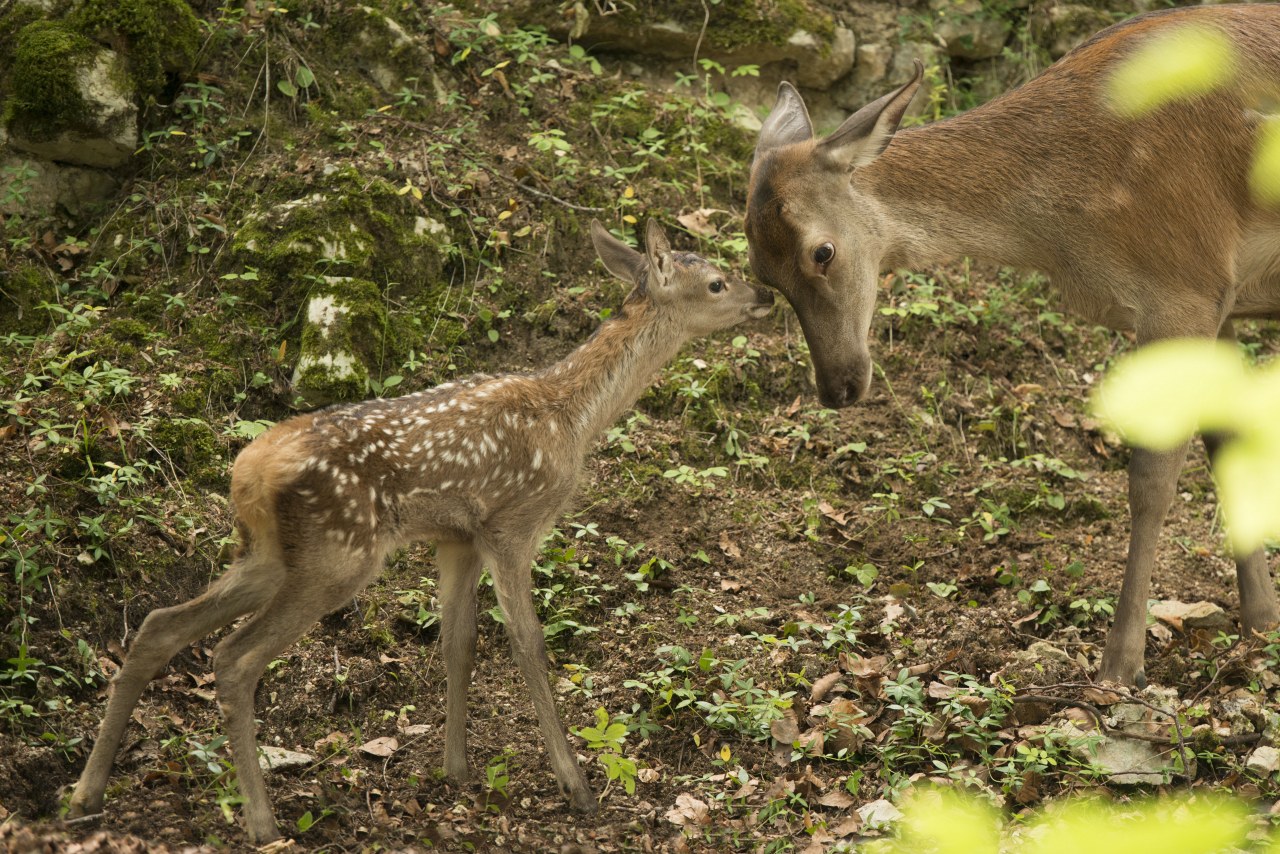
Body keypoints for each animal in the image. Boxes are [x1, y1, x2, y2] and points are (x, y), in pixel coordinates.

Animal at [67, 218, 768, 839]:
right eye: (716, 282)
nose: (763, 295)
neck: (571, 414)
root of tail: (247, 471)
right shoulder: (513, 523)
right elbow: (528, 643)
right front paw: (576, 785)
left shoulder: (456, 537)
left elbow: (459, 641)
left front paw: (456, 770)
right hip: (337, 553)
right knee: (234, 657)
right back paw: (262, 824)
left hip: (269, 553)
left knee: (159, 626)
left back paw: (85, 795)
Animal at [747, 5, 1280, 686]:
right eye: (762, 276)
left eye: (823, 251)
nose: (838, 386)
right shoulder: (1222, 298)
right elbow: (1228, 442)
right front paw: (1261, 621)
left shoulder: (1184, 283)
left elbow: (1152, 480)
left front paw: (1120, 663)